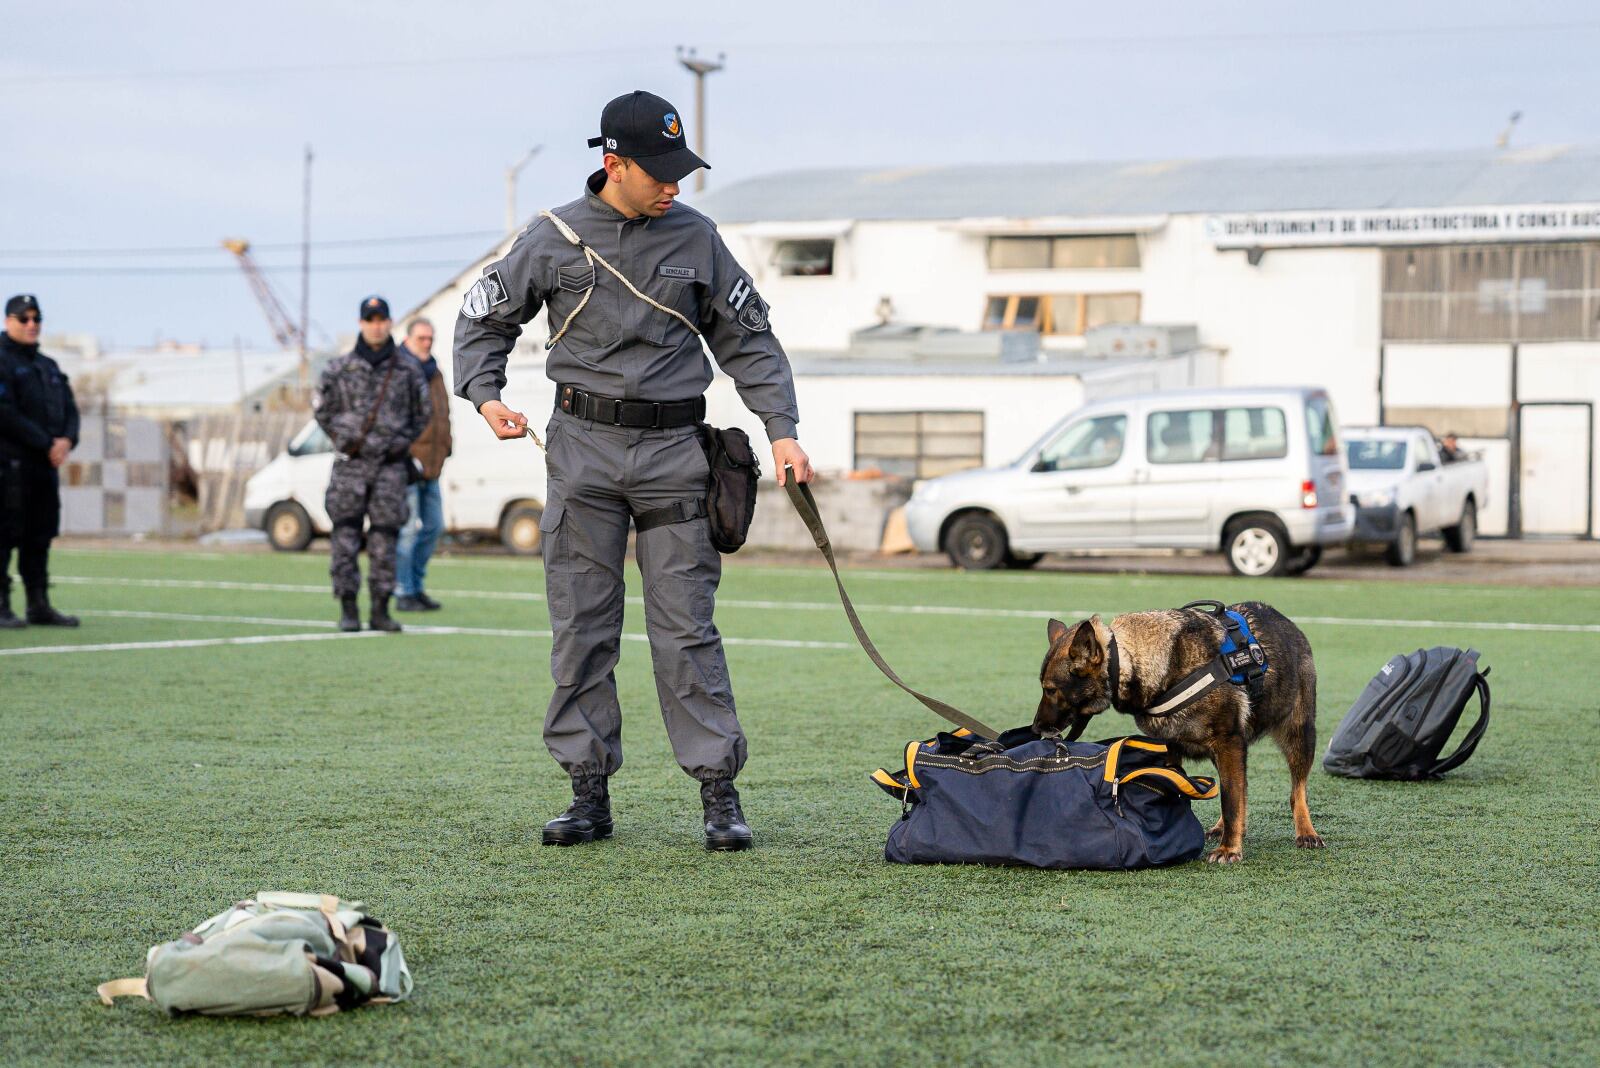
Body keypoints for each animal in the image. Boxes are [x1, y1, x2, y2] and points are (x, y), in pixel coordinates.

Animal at [1036, 601, 1324, 869]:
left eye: (1050, 689)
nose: (1036, 728)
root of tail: (1284, 620)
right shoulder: (1176, 750)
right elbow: (1212, 793)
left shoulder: (1229, 743)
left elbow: (1231, 801)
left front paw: (1229, 849)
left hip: (1299, 737)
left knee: (1296, 791)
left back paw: (1305, 831)